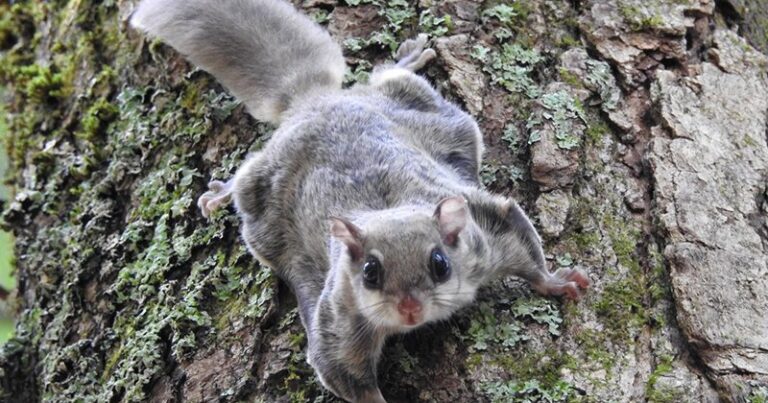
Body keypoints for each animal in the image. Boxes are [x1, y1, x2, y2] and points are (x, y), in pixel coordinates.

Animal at [131, 1, 590, 402]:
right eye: (370, 272)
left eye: (440, 264)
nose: (409, 309)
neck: (389, 210)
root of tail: (312, 100)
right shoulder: (341, 317)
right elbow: (342, 370)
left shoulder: (486, 232)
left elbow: (522, 245)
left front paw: (557, 282)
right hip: (261, 190)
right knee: (248, 175)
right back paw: (222, 192)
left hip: (426, 110)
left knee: (387, 79)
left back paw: (405, 60)